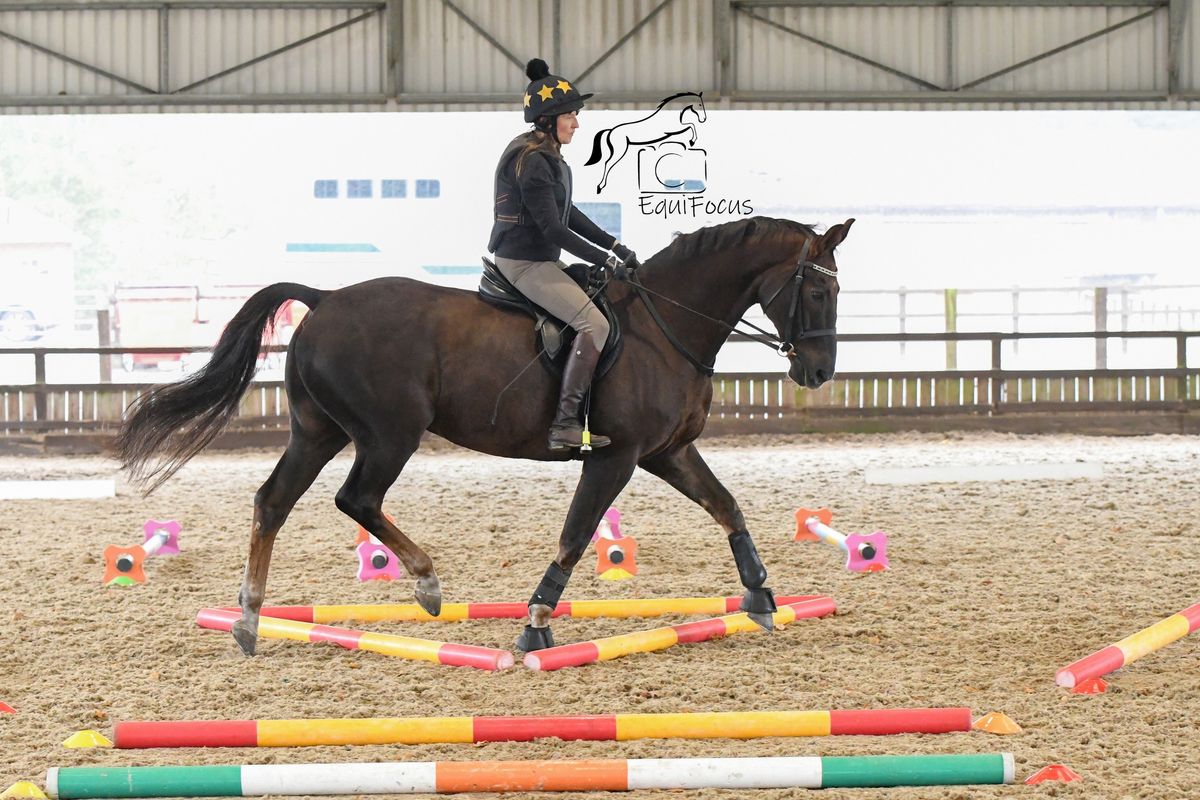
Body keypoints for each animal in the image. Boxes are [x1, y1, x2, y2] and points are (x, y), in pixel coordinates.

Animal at [114, 215, 854, 652]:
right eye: (819, 292)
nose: (818, 371)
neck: (664, 324)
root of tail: (324, 300)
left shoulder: (666, 452)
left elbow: (727, 506)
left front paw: (760, 597)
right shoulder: (616, 457)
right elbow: (577, 534)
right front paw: (535, 625)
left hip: (317, 433)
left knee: (273, 501)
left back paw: (247, 619)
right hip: (390, 434)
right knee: (357, 500)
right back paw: (426, 584)